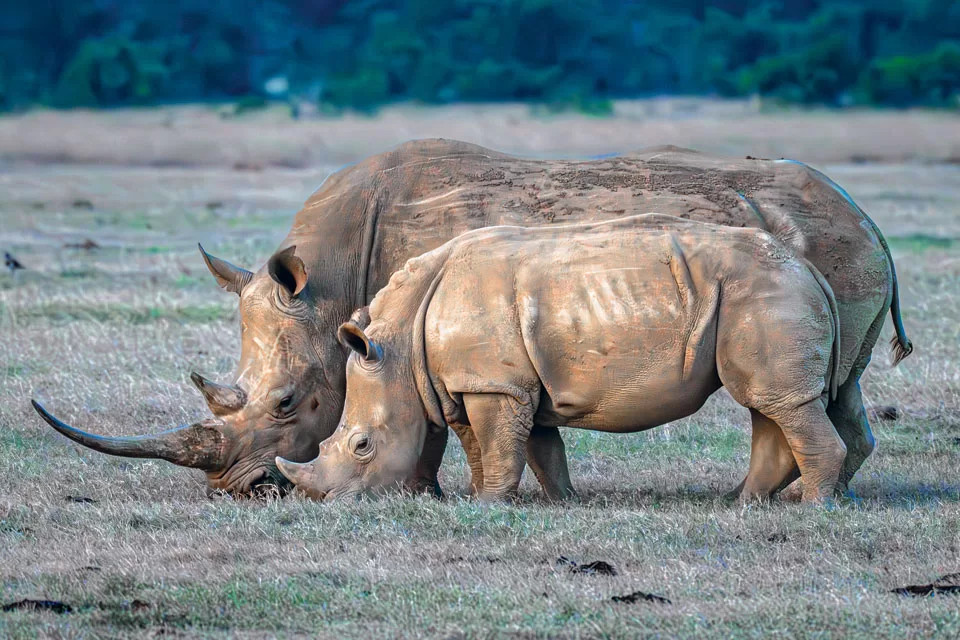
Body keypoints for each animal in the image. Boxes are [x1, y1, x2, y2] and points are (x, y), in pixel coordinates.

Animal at [275, 215, 850, 503]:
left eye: (362, 446)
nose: (327, 501)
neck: (396, 347)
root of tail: (808, 268)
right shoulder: (470, 382)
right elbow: (522, 446)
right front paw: (555, 501)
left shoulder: (492, 383)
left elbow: (501, 447)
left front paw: (489, 506)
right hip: (757, 295)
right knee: (769, 404)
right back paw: (741, 503)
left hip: (767, 294)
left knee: (778, 403)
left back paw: (814, 509)